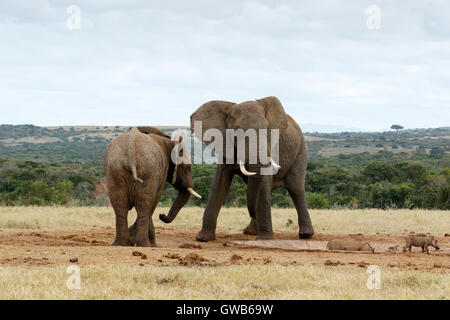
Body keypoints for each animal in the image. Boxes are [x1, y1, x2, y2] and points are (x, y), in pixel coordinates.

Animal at [190, 96, 312, 241]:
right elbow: (219, 184)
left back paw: (306, 235)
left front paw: (265, 240)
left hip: (301, 151)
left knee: (296, 189)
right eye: (237, 130)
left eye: (267, 128)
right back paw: (251, 232)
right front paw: (203, 238)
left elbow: (263, 184)